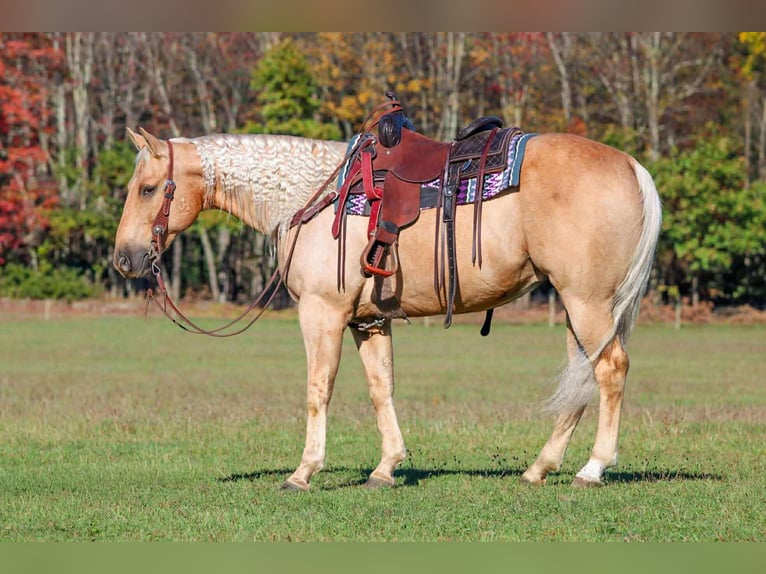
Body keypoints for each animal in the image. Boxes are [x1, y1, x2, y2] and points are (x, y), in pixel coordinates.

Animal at [113, 122, 661, 491]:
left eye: (147, 189)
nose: (125, 258)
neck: (313, 196)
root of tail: (632, 167)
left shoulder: (322, 315)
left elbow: (319, 389)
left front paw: (303, 471)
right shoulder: (369, 321)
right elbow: (382, 389)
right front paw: (386, 468)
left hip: (587, 303)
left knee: (610, 370)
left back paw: (593, 469)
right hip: (577, 307)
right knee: (580, 379)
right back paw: (539, 468)